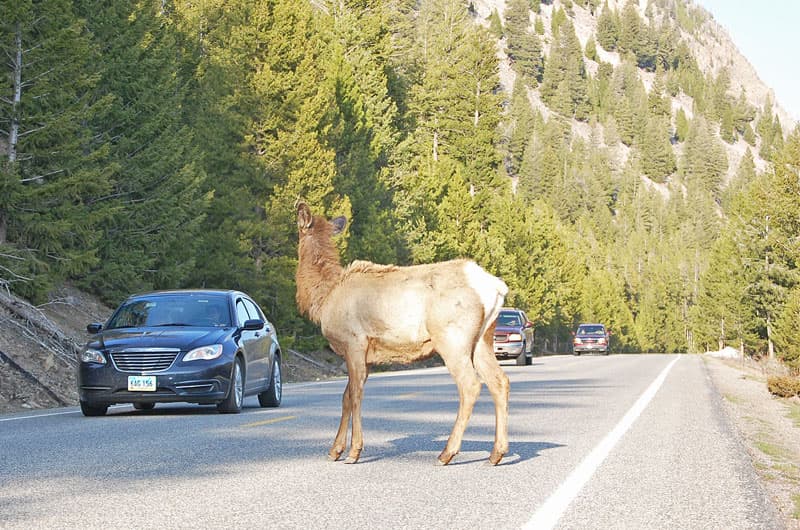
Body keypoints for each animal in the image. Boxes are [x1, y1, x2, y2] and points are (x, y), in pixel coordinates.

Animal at [296, 201, 512, 462]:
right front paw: (335, 449)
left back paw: (447, 453)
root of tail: (496, 287)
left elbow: (355, 395)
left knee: (470, 385)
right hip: (483, 339)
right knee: (499, 381)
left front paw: (354, 451)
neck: (324, 297)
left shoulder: (354, 342)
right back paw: (496, 453)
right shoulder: (366, 356)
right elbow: (346, 397)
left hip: (452, 338)